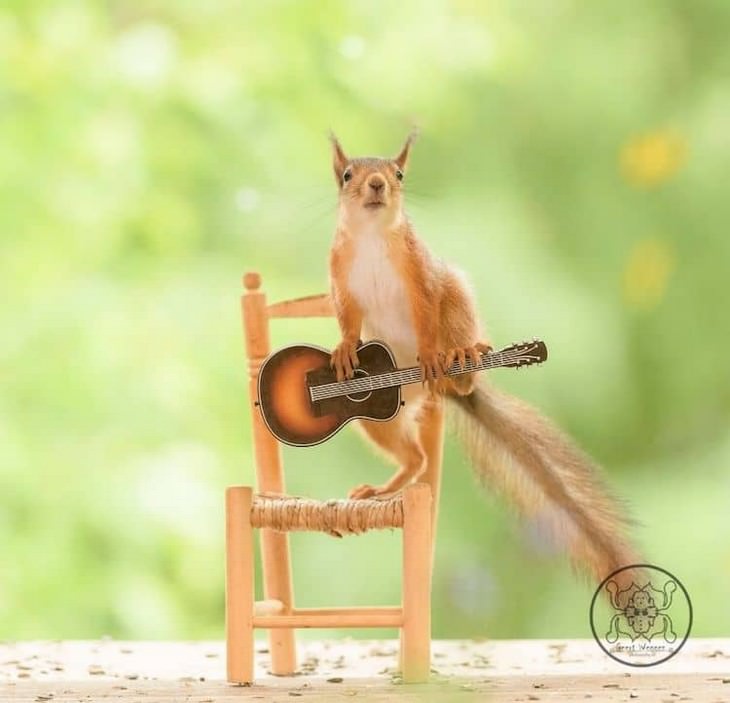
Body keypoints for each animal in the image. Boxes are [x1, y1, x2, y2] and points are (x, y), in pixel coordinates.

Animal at [324, 132, 636, 584]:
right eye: (348, 174)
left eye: (399, 174)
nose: (378, 184)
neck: (370, 239)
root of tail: (436, 392)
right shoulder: (339, 274)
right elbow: (347, 317)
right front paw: (345, 347)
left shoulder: (422, 274)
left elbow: (426, 310)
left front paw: (432, 352)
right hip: (379, 413)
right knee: (416, 458)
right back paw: (384, 488)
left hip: (455, 296)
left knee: (456, 331)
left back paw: (460, 360)